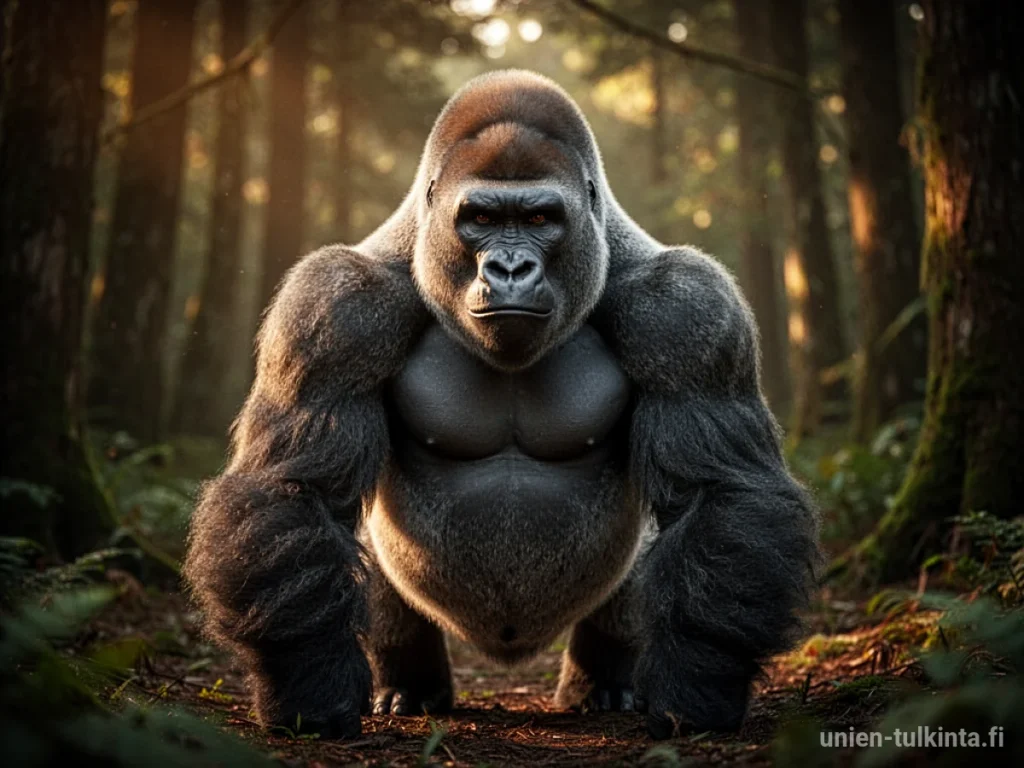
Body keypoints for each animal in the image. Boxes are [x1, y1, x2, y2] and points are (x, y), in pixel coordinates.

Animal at [183, 70, 819, 741]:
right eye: (482, 217)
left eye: (541, 217)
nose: (510, 266)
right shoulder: (333, 306)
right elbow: (295, 487)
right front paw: (310, 682)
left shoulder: (687, 307)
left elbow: (718, 491)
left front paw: (698, 683)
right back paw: (409, 684)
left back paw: (605, 683)